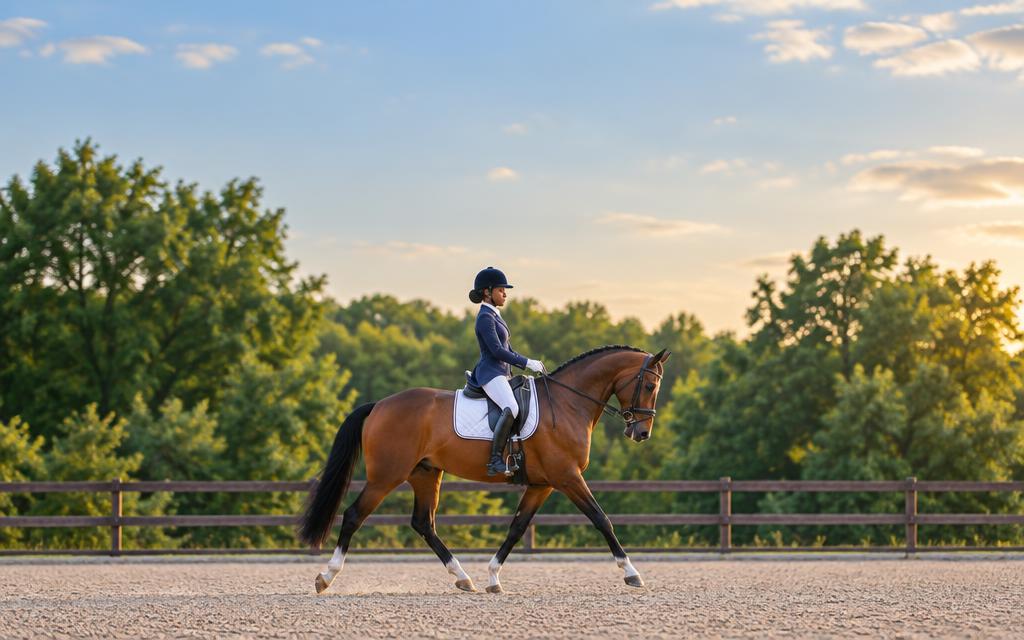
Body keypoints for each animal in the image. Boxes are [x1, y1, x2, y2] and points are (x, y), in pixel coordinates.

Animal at [298, 345, 670, 594]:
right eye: (650, 386)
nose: (642, 433)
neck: (567, 404)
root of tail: (379, 405)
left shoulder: (542, 484)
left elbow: (517, 528)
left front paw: (493, 577)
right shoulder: (567, 477)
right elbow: (601, 519)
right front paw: (631, 572)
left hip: (425, 474)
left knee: (423, 523)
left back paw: (463, 578)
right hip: (386, 476)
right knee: (353, 516)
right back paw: (325, 577)